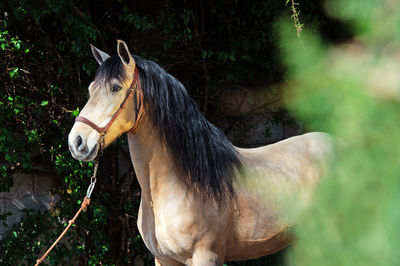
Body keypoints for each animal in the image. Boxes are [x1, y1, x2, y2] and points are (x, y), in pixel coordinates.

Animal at [69, 40, 334, 264]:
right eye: (91, 89)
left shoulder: (206, 257)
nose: (76, 142)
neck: (179, 183)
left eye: (115, 88)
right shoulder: (163, 260)